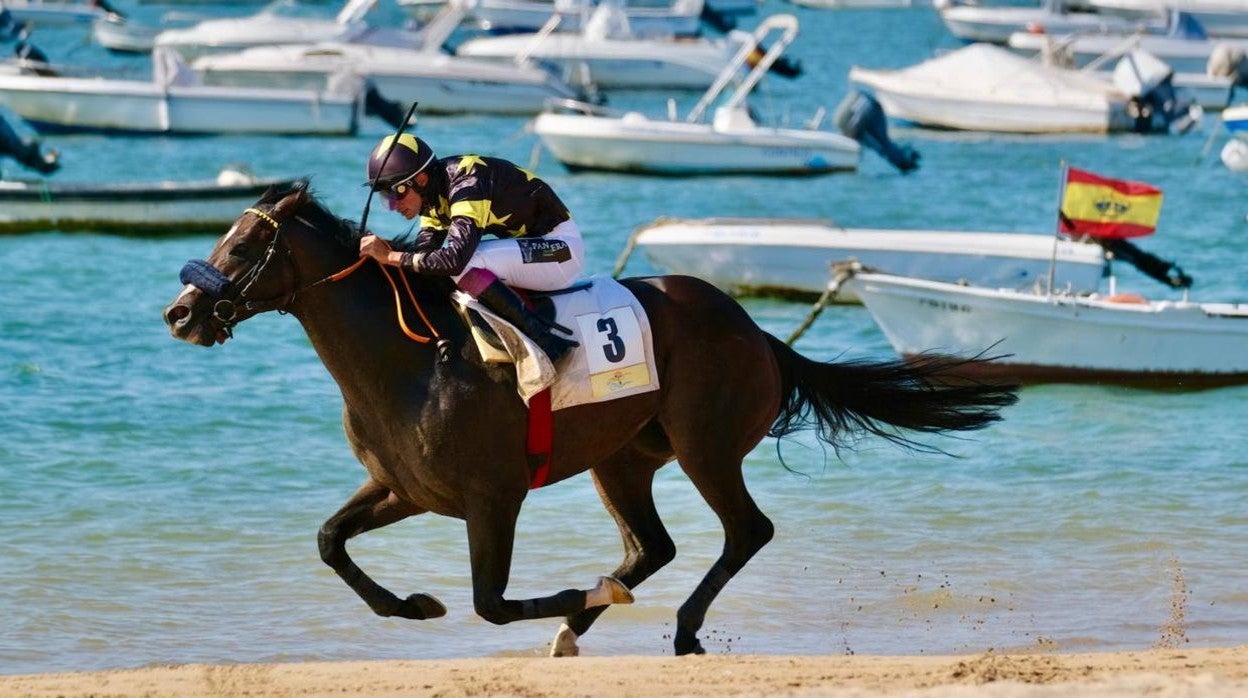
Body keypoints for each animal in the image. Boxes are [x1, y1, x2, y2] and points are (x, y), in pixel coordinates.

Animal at [163, 183, 1013, 659]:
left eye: (244, 243)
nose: (180, 312)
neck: (408, 362)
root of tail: (754, 329)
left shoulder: (493, 497)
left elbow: (490, 602)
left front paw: (572, 595)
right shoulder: (404, 487)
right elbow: (330, 541)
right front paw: (413, 604)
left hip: (706, 447)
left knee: (745, 531)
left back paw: (672, 627)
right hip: (623, 458)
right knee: (652, 546)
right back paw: (583, 624)